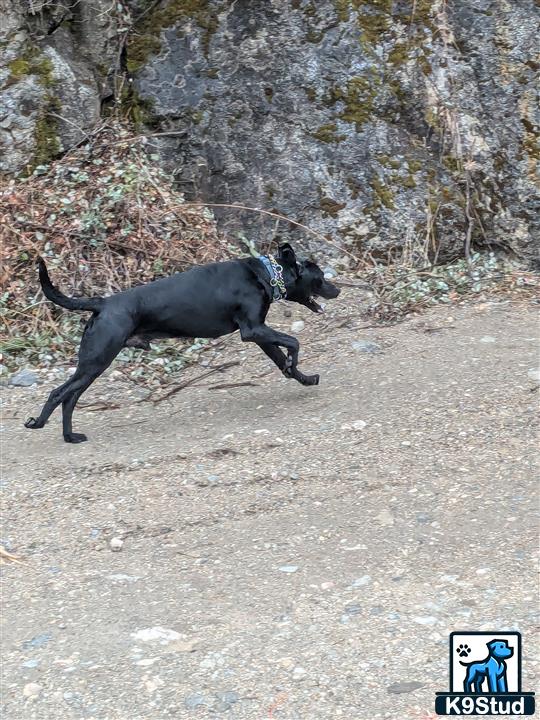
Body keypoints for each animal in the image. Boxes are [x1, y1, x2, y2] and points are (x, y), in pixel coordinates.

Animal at [25, 245, 340, 442]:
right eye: (321, 278)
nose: (338, 289)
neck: (266, 275)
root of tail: (102, 303)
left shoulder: (261, 335)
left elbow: (283, 358)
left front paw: (303, 377)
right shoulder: (253, 331)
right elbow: (293, 342)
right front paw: (294, 363)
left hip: (92, 366)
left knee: (69, 398)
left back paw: (69, 436)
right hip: (96, 361)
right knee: (58, 393)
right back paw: (39, 424)